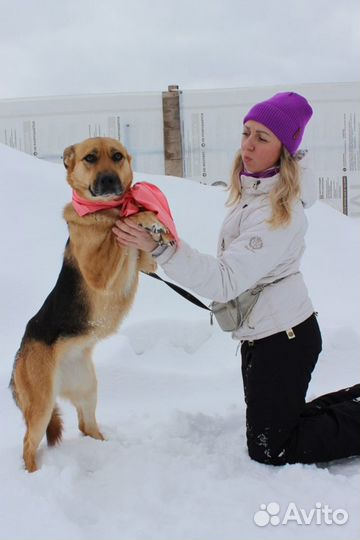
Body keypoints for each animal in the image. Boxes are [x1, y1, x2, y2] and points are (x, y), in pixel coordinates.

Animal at [10, 137, 174, 470]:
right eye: (90, 158)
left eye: (117, 156)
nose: (109, 180)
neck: (105, 209)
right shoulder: (100, 270)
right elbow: (122, 222)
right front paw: (143, 216)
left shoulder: (144, 264)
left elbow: (145, 248)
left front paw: (157, 227)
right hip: (42, 405)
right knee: (28, 443)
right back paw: (34, 473)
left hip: (88, 389)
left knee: (87, 425)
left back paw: (106, 448)